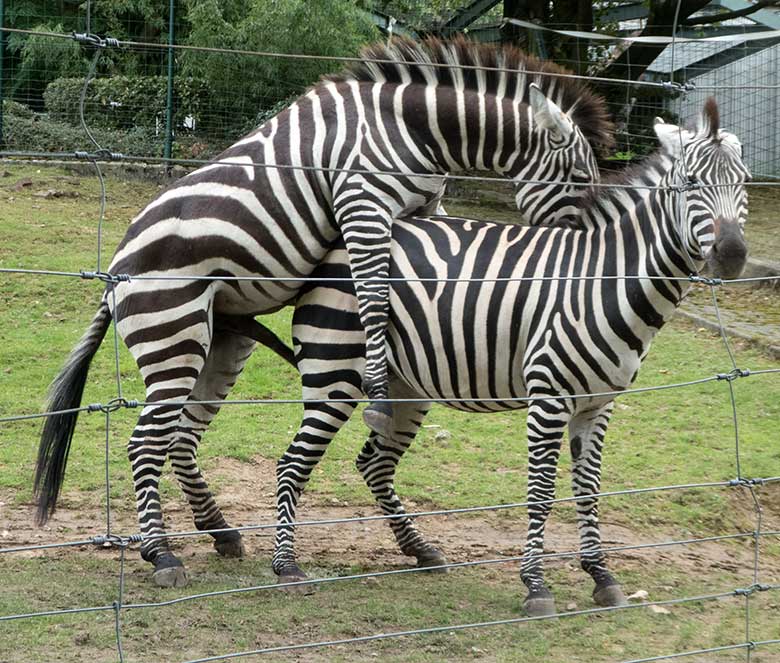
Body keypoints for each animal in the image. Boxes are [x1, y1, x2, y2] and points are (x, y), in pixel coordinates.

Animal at [33, 37, 612, 588]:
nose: (585, 265)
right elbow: (374, 293)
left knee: (181, 435)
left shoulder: (425, 207)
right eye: (581, 179)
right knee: (144, 443)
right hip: (172, 335)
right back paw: (161, 554)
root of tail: (114, 273)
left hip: (223, 342)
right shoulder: (363, 204)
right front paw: (377, 387)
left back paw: (220, 530)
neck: (414, 126)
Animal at [272, 100, 748, 616]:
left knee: (374, 463)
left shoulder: (599, 404)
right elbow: (541, 492)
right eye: (691, 184)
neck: (605, 282)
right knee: (292, 462)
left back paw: (419, 548)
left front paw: (602, 576)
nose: (733, 255)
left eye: (744, 182)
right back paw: (286, 566)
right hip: (335, 368)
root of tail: (338, 243)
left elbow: (589, 489)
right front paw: (536, 586)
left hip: (406, 386)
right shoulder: (549, 397)